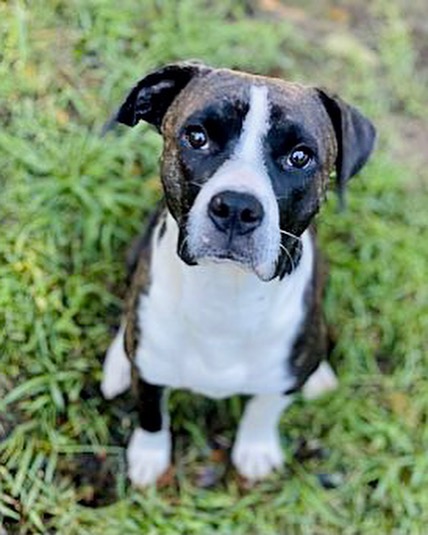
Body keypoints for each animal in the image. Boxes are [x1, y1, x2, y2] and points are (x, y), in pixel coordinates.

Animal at [100, 60, 374, 488]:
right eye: (197, 137)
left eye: (300, 157)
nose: (237, 207)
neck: (227, 294)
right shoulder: (148, 377)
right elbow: (151, 413)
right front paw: (149, 456)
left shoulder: (283, 376)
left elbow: (266, 406)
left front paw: (256, 448)